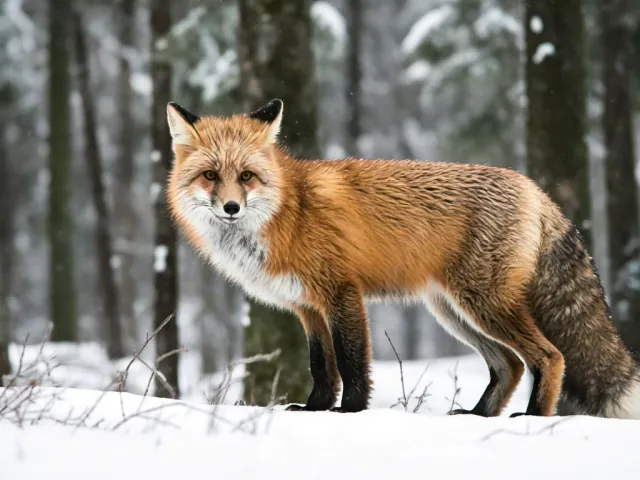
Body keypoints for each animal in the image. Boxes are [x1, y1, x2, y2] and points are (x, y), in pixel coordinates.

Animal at [165, 98, 640, 418]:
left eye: (246, 176)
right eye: (210, 176)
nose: (231, 208)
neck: (288, 211)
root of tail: (535, 188)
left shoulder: (341, 294)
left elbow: (352, 362)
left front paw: (350, 412)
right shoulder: (307, 307)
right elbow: (322, 367)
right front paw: (314, 409)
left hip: (484, 305)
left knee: (549, 356)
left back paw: (533, 419)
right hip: (453, 311)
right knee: (508, 364)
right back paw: (478, 416)